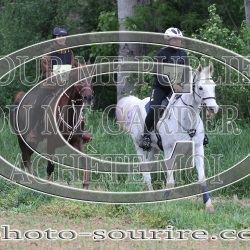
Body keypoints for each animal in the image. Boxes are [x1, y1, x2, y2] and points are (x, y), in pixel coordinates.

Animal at [115, 65, 219, 213]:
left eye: (214, 86)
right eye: (200, 88)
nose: (213, 108)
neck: (187, 119)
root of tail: (137, 103)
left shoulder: (198, 149)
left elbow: (202, 178)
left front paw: (209, 205)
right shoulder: (170, 151)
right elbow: (170, 181)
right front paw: (166, 200)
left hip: (155, 149)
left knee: (148, 165)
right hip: (138, 145)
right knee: (145, 168)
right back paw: (151, 194)